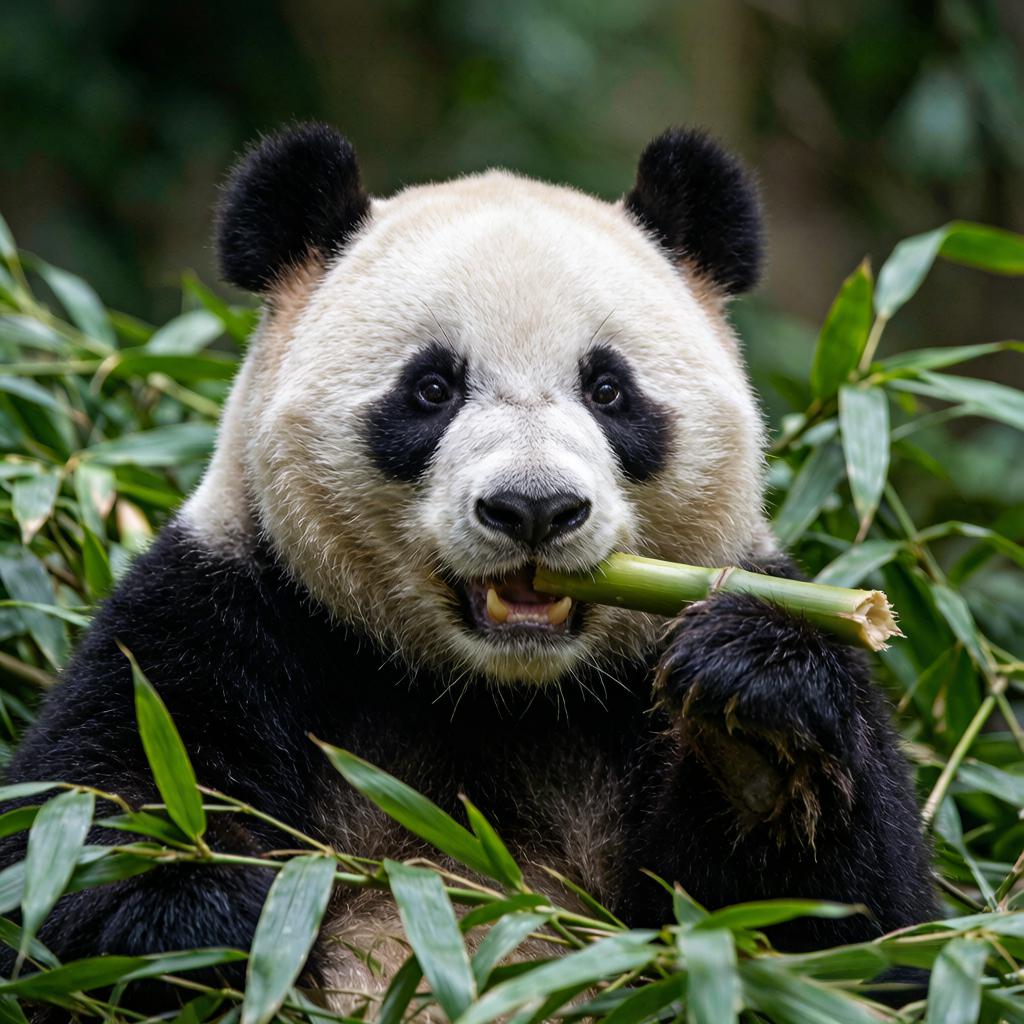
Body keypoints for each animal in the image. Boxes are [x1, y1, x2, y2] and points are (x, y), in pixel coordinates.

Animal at [2, 123, 934, 1008]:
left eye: (608, 390)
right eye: (432, 388)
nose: (534, 508)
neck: (494, 695)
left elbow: (853, 941)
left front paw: (759, 733)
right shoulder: (218, 619)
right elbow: (94, 850)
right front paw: (239, 917)